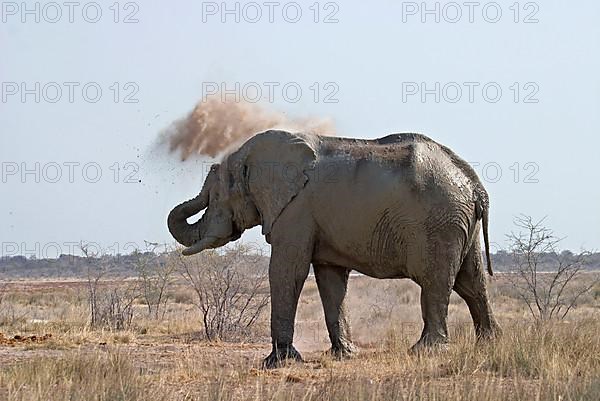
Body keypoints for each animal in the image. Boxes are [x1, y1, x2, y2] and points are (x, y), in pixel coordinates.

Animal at [168, 130, 502, 368]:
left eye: (217, 194)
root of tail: (475, 184)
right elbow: (330, 279)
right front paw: (343, 355)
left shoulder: (295, 211)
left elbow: (287, 272)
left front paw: (276, 363)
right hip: (459, 223)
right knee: (471, 282)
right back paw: (490, 343)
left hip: (438, 222)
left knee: (436, 281)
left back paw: (424, 350)